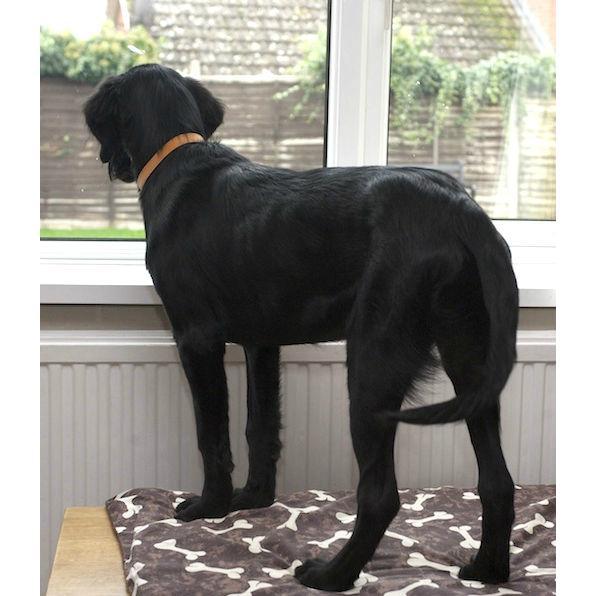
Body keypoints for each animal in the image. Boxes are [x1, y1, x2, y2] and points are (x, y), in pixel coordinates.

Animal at [86, 62, 520, 588]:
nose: (113, 165)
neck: (178, 157)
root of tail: (461, 209)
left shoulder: (196, 338)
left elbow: (212, 432)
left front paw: (209, 506)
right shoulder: (261, 343)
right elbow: (260, 425)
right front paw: (253, 499)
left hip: (374, 359)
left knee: (381, 495)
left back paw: (331, 574)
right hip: (471, 355)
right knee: (497, 480)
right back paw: (488, 569)